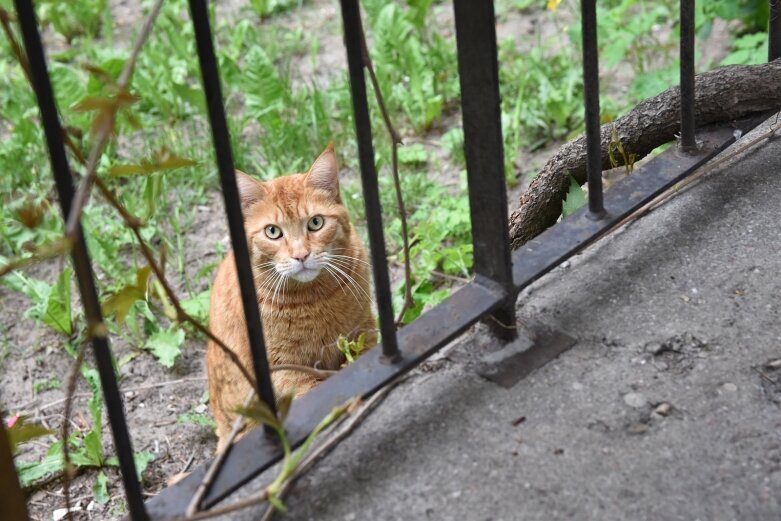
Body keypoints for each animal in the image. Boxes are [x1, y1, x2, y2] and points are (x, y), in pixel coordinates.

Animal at [206, 143, 376, 446]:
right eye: (273, 232)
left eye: (316, 223)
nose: (301, 255)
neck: (315, 299)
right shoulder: (284, 371)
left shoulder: (365, 331)